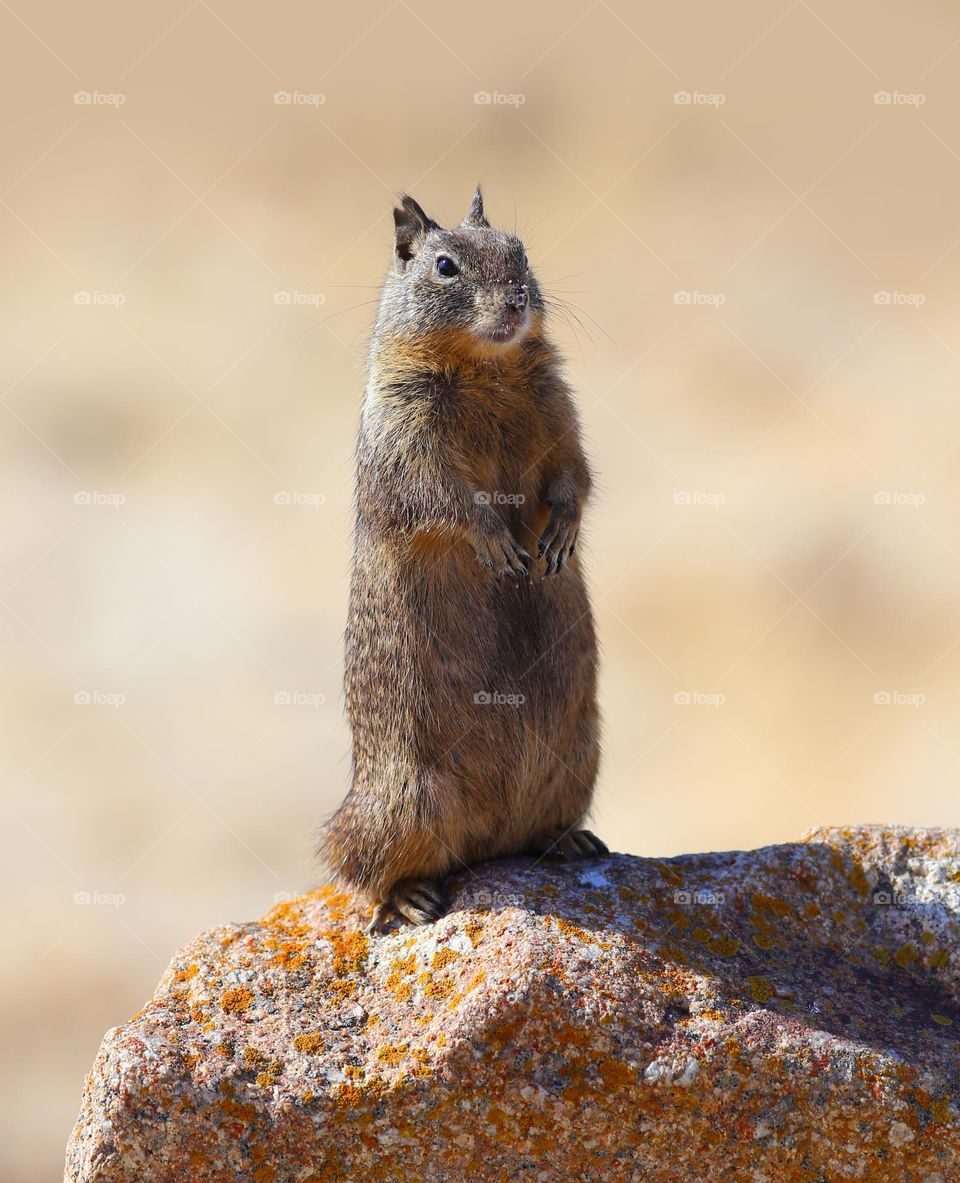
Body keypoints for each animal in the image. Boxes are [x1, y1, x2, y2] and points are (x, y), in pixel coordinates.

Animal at [320, 186, 605, 932]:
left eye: (520, 250)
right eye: (445, 266)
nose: (515, 303)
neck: (489, 368)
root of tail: (488, 843)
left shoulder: (559, 411)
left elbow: (574, 475)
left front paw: (557, 538)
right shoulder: (409, 435)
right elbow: (444, 498)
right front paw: (497, 543)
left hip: (580, 757)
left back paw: (569, 840)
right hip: (400, 803)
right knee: (360, 873)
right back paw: (410, 896)